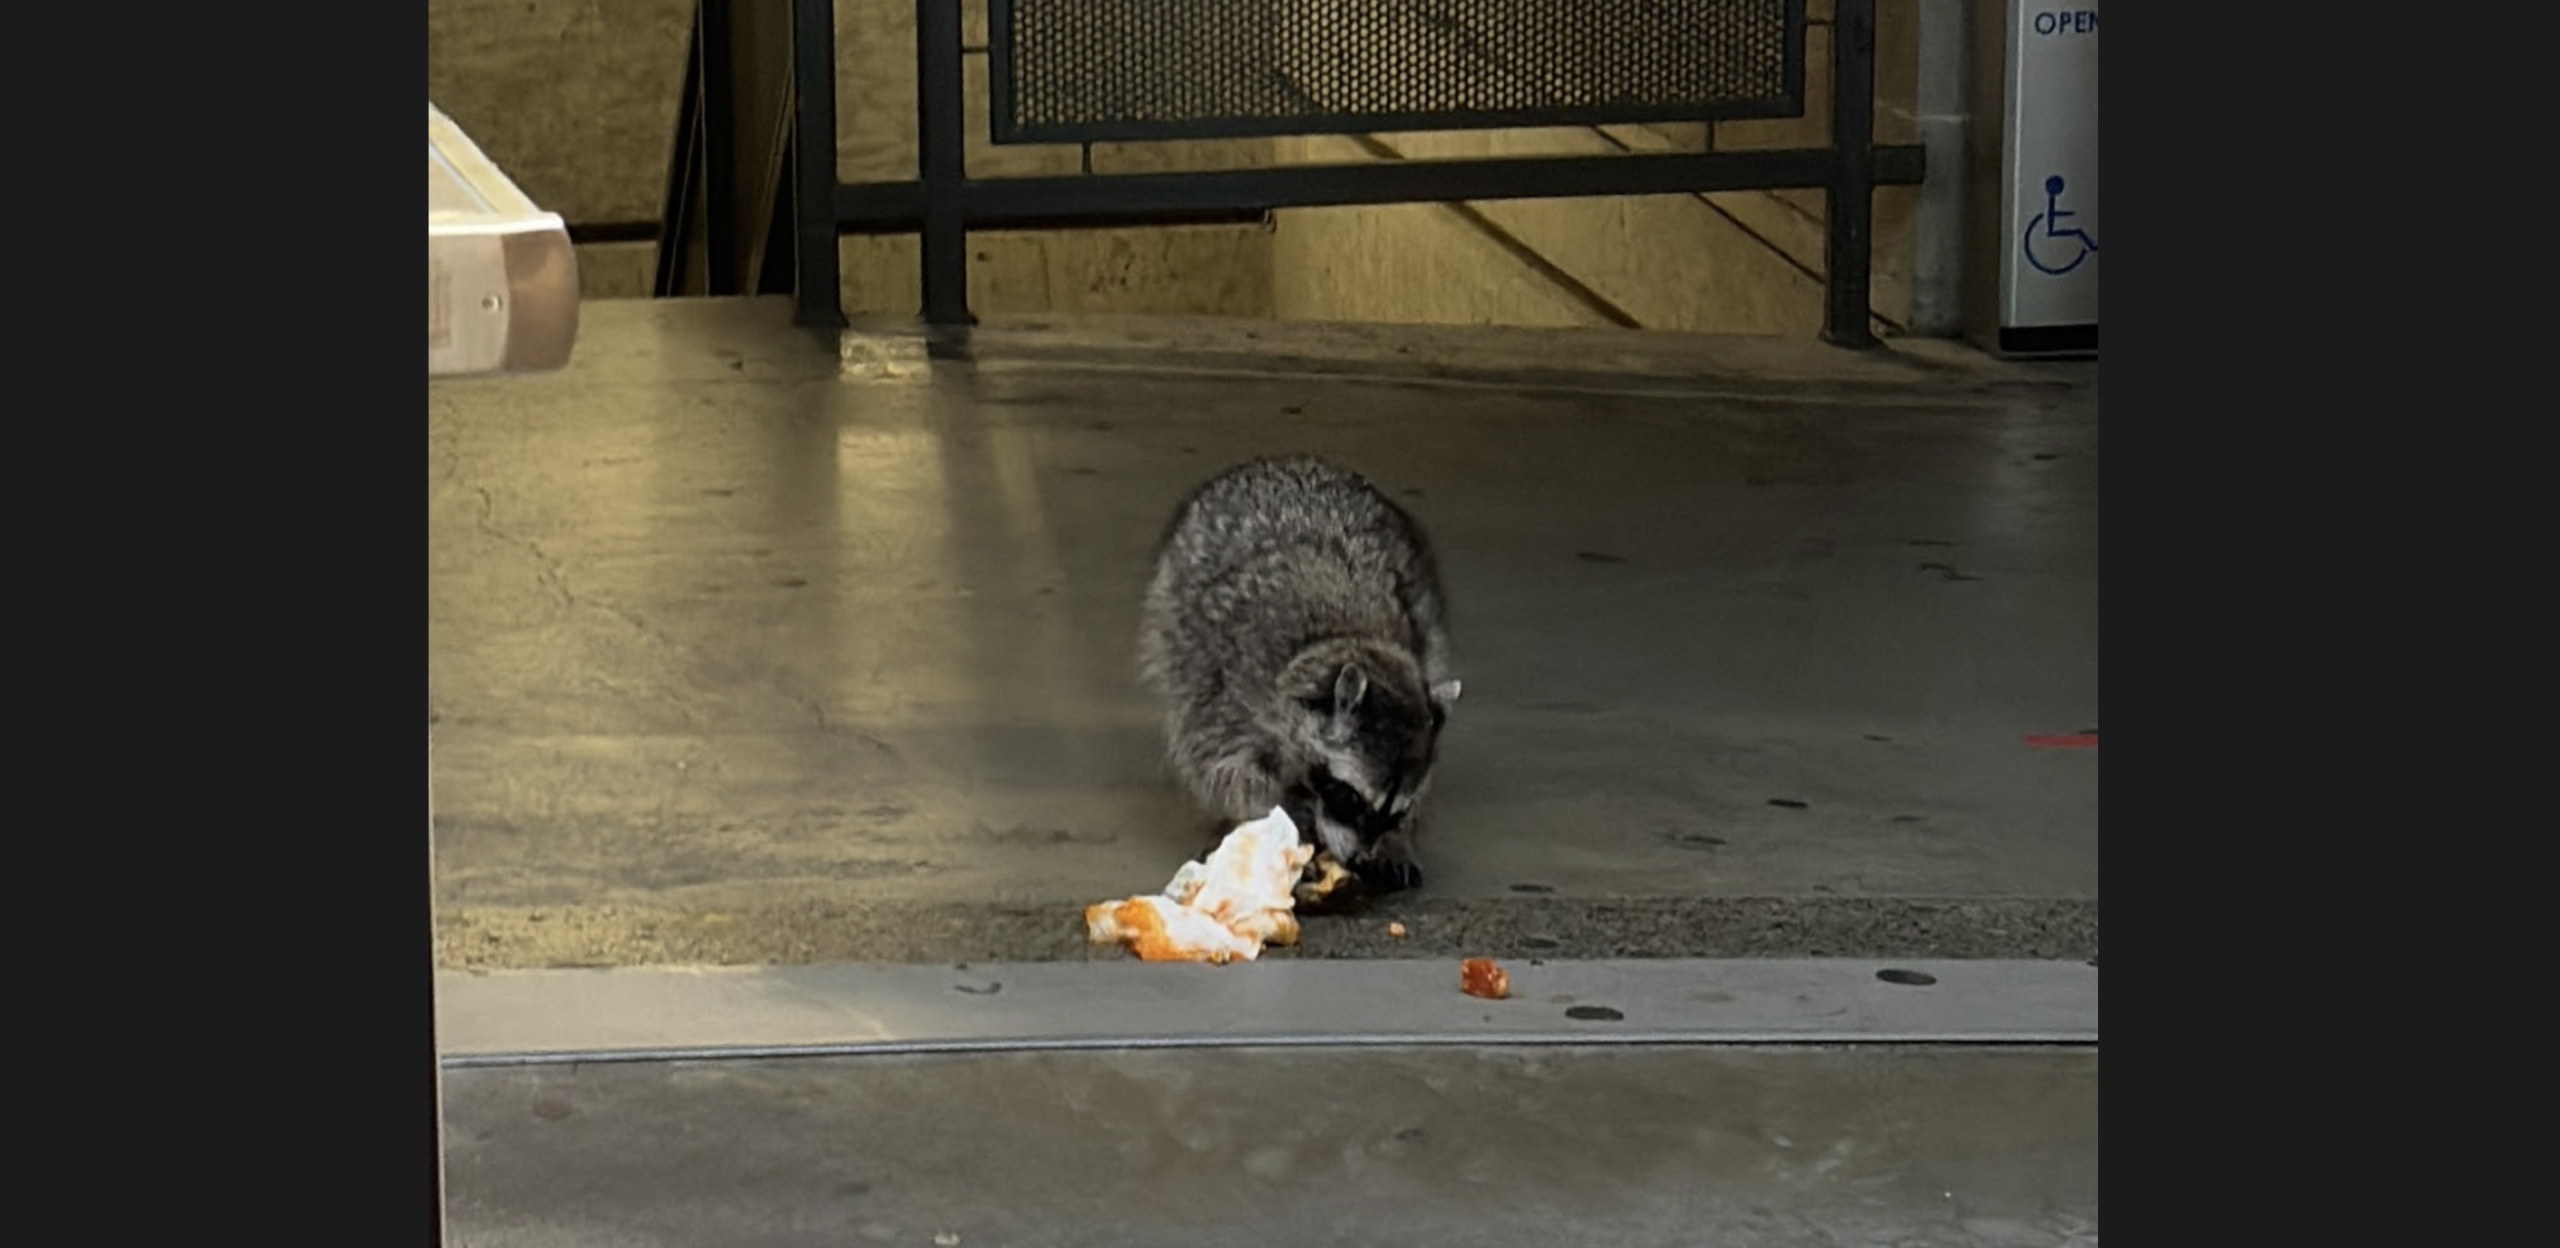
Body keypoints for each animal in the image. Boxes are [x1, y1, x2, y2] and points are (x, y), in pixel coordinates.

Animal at [1137, 455, 1462, 893]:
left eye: (1394, 810)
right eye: (1349, 797)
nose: (1358, 860)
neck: (1345, 639)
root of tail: (1283, 462)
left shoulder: (1415, 643)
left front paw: (1398, 838)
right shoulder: (1226, 689)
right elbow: (1222, 768)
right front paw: (1275, 822)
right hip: (1172, 609)